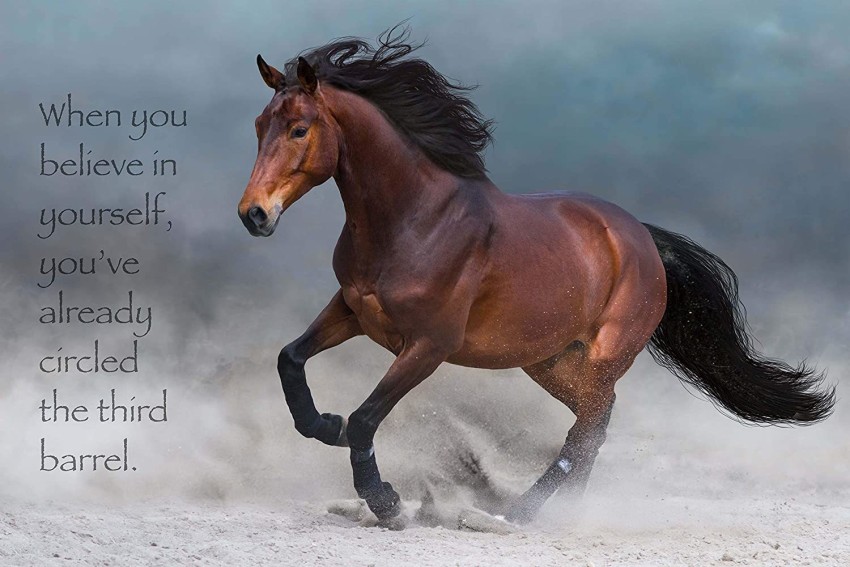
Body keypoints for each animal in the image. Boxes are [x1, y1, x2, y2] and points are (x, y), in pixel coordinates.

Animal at [237, 27, 835, 525]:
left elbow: (365, 418)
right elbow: (290, 360)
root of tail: (641, 237)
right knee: (593, 422)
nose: (254, 215)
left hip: (603, 357)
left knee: (589, 427)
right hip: (549, 360)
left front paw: (385, 501)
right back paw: (550, 508)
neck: (416, 219)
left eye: (299, 129)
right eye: (260, 126)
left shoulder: (428, 345)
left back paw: (522, 512)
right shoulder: (353, 310)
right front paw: (324, 424)